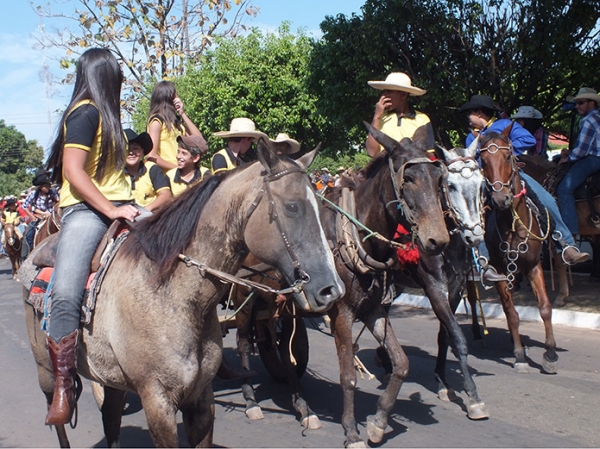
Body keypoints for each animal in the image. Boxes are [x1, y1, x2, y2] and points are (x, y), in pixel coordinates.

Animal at [21, 139, 344, 444]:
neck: (172, 294)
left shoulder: (201, 397)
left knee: (111, 416)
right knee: (60, 416)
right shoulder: (158, 402)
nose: (332, 290)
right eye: (292, 207)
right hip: (46, 372)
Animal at [478, 126, 556, 374]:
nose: (501, 199)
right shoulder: (500, 271)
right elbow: (511, 313)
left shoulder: (533, 266)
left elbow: (545, 307)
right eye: (483, 160)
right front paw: (520, 356)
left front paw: (550, 354)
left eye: (507, 156)